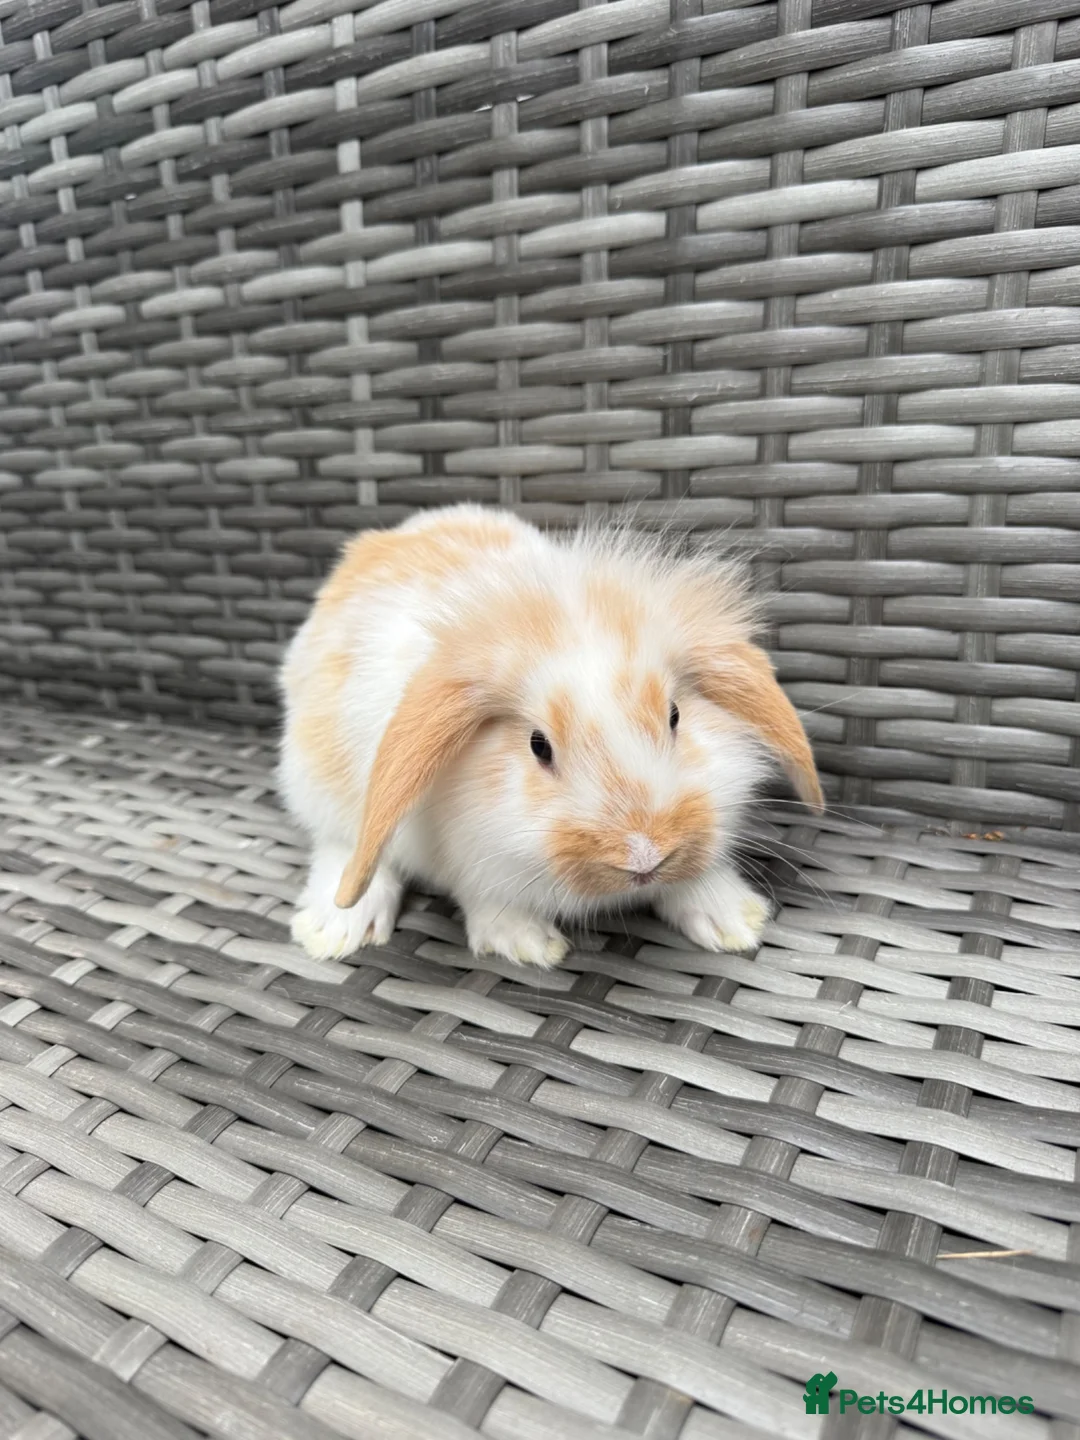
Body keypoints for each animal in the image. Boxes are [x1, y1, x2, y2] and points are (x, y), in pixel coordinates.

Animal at [278, 503, 823, 968]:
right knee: (342, 846)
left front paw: (733, 919)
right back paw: (335, 928)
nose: (644, 857)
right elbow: (485, 893)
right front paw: (527, 942)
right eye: (538, 745)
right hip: (320, 785)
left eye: (674, 716)